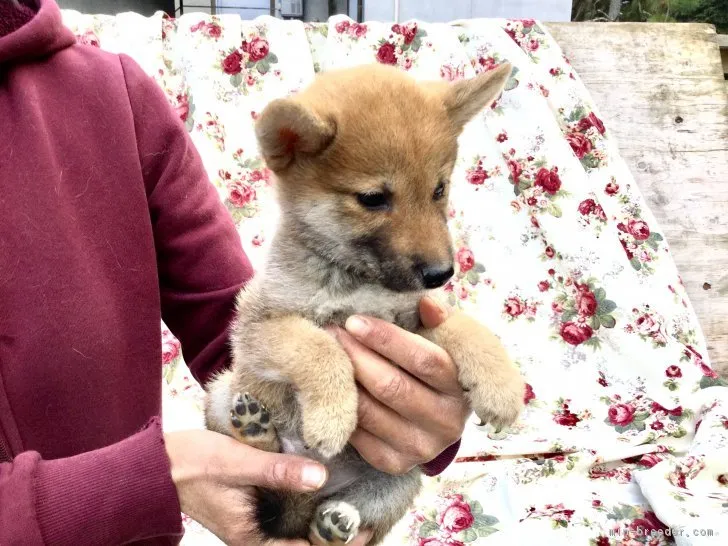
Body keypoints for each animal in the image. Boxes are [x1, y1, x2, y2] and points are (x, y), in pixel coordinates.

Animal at [205, 61, 524, 540]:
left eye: (439, 189)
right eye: (373, 199)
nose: (441, 274)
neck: (360, 282)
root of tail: (317, 481)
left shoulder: (413, 320)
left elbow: (465, 327)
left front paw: (501, 386)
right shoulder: (261, 324)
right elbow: (320, 348)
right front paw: (334, 413)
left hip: (403, 478)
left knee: (337, 518)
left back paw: (336, 520)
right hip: (221, 393)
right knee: (269, 469)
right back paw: (258, 432)